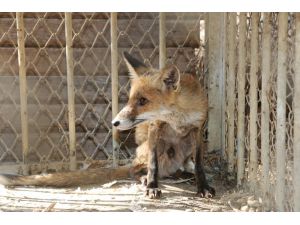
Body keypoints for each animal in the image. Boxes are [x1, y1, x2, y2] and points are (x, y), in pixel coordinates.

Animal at [111, 51, 214, 199]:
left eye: (143, 100)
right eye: (129, 100)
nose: (114, 122)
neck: (177, 118)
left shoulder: (198, 129)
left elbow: (199, 165)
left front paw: (203, 187)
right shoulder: (155, 126)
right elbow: (153, 164)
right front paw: (152, 186)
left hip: (188, 145)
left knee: (178, 170)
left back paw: (185, 175)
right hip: (157, 145)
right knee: (133, 169)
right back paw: (145, 178)